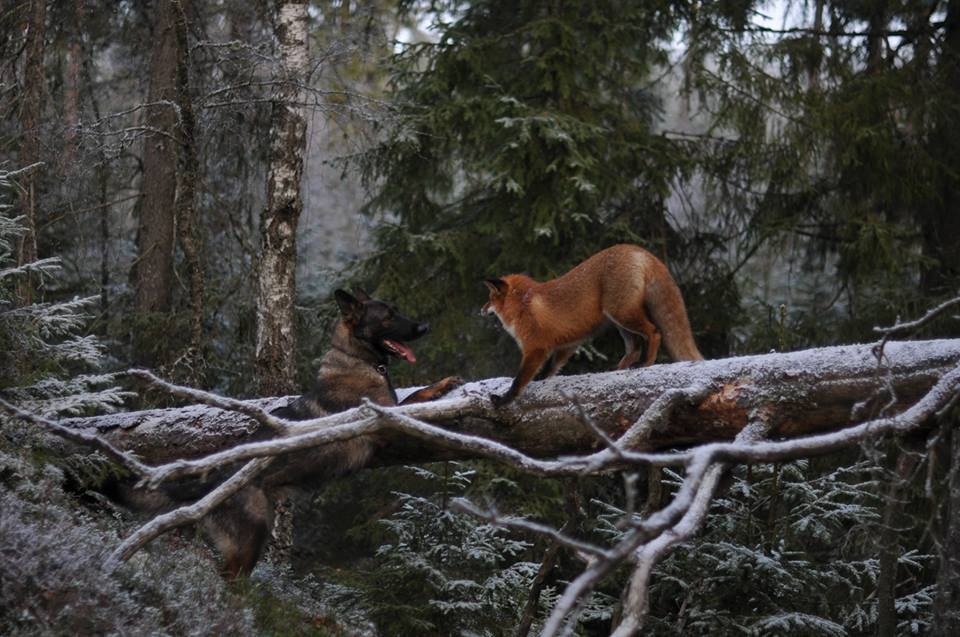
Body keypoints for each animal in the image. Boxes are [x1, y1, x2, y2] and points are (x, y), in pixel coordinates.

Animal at [120, 288, 464, 576]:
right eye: (389, 316)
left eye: (398, 310)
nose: (425, 327)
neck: (356, 358)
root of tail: (211, 485)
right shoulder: (384, 419)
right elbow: (414, 403)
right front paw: (444, 392)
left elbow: (414, 395)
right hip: (252, 535)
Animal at [484, 242, 700, 402]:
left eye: (489, 298)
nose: (481, 310)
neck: (522, 305)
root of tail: (637, 249)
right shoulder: (567, 344)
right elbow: (550, 369)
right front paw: (540, 380)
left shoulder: (535, 348)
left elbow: (519, 380)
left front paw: (504, 400)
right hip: (619, 321)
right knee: (635, 347)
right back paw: (618, 369)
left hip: (622, 314)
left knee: (654, 332)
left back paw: (646, 362)